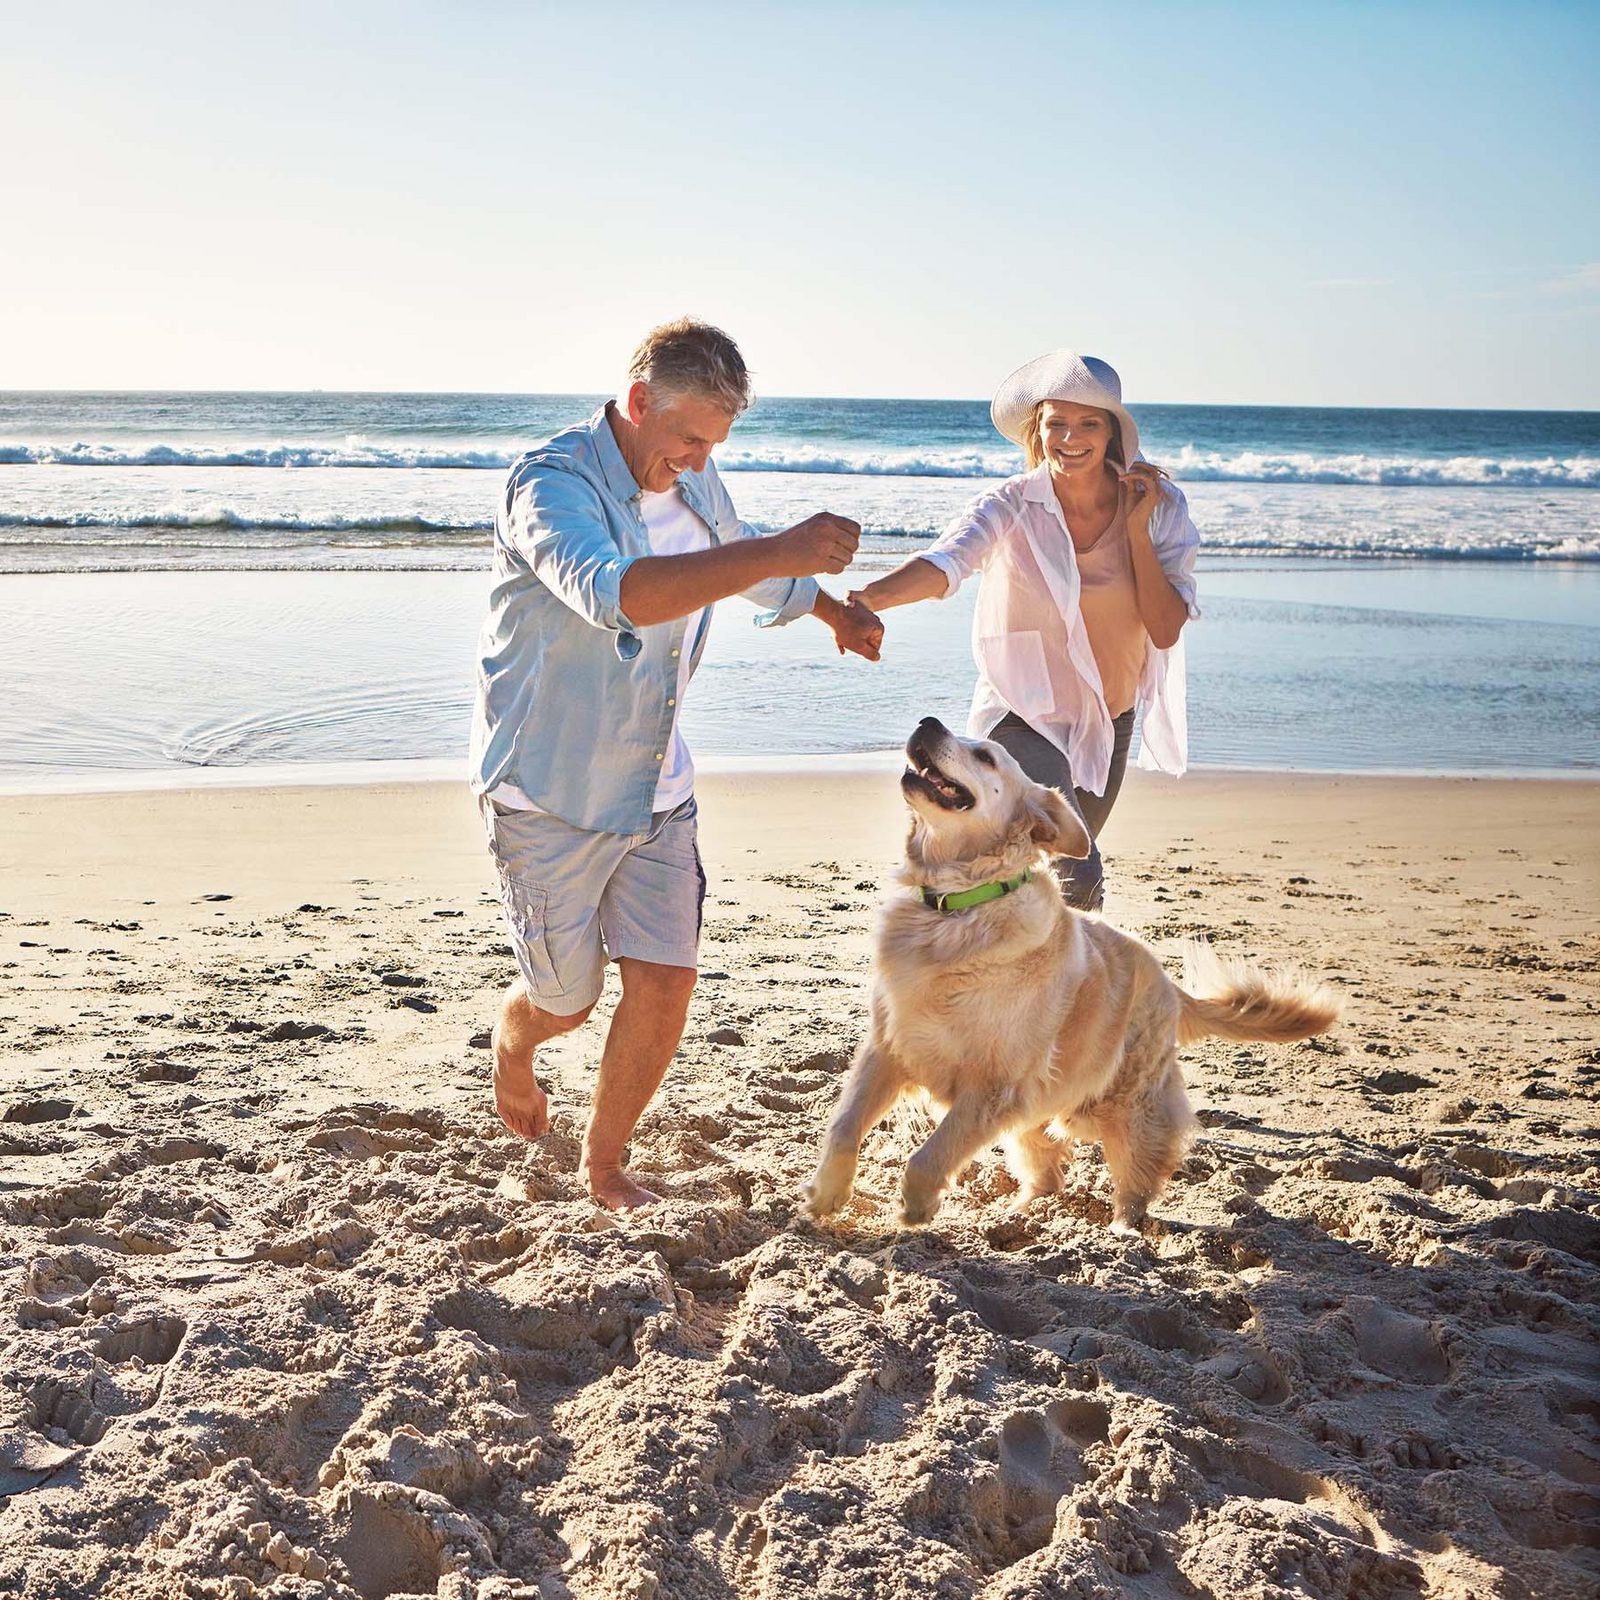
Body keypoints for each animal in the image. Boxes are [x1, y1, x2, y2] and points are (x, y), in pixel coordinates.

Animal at [800, 720, 1337, 1228]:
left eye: (985, 755)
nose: (927, 723)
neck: (956, 909)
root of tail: (1169, 984)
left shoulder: (993, 1087)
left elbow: (930, 1154)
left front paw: (915, 1205)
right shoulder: (888, 1048)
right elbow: (844, 1126)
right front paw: (827, 1193)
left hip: (1123, 1107)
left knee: (1137, 1180)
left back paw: (1122, 1232)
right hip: (1038, 1114)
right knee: (1049, 1174)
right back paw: (1017, 1216)